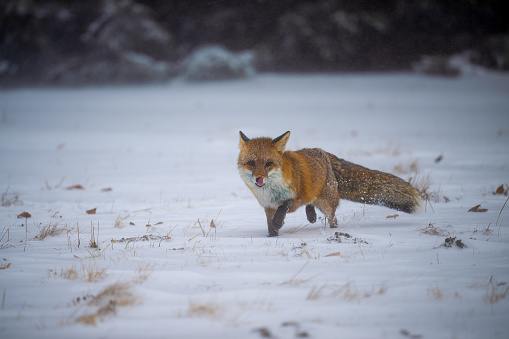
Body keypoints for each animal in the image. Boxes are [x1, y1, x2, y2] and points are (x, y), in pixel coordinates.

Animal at [236, 131, 422, 238]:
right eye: (252, 163)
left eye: (268, 164)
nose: (259, 178)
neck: (270, 191)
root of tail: (322, 151)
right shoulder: (268, 206)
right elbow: (270, 224)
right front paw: (272, 236)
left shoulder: (294, 199)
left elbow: (283, 209)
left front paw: (277, 224)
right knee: (312, 204)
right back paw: (312, 216)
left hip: (326, 203)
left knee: (332, 217)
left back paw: (331, 229)